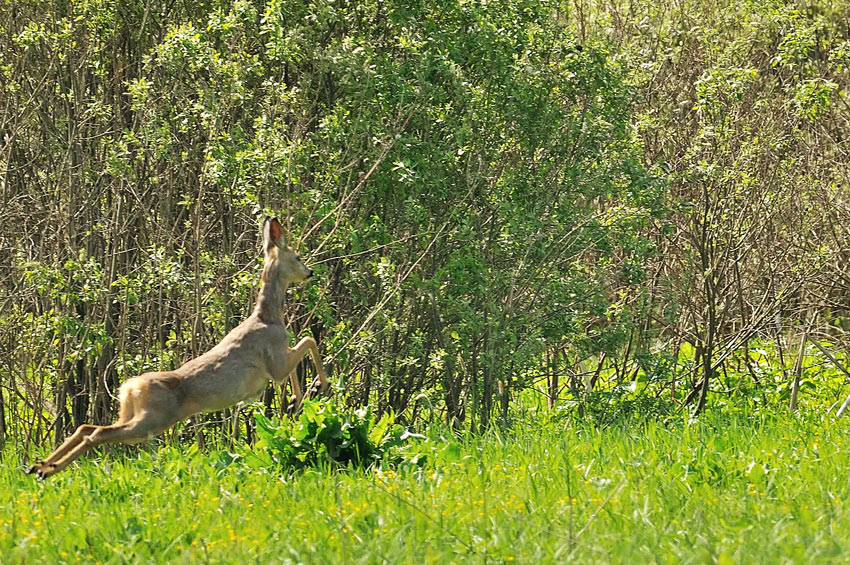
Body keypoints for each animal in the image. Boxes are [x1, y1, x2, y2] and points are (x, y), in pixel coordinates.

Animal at [27, 218, 328, 478]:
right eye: (297, 257)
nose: (310, 272)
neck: (268, 316)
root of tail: (131, 387)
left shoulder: (277, 363)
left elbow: (301, 352)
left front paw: (297, 398)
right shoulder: (275, 359)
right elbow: (307, 342)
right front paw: (315, 388)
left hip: (134, 415)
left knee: (86, 426)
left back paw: (39, 466)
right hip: (154, 418)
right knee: (96, 433)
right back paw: (46, 469)